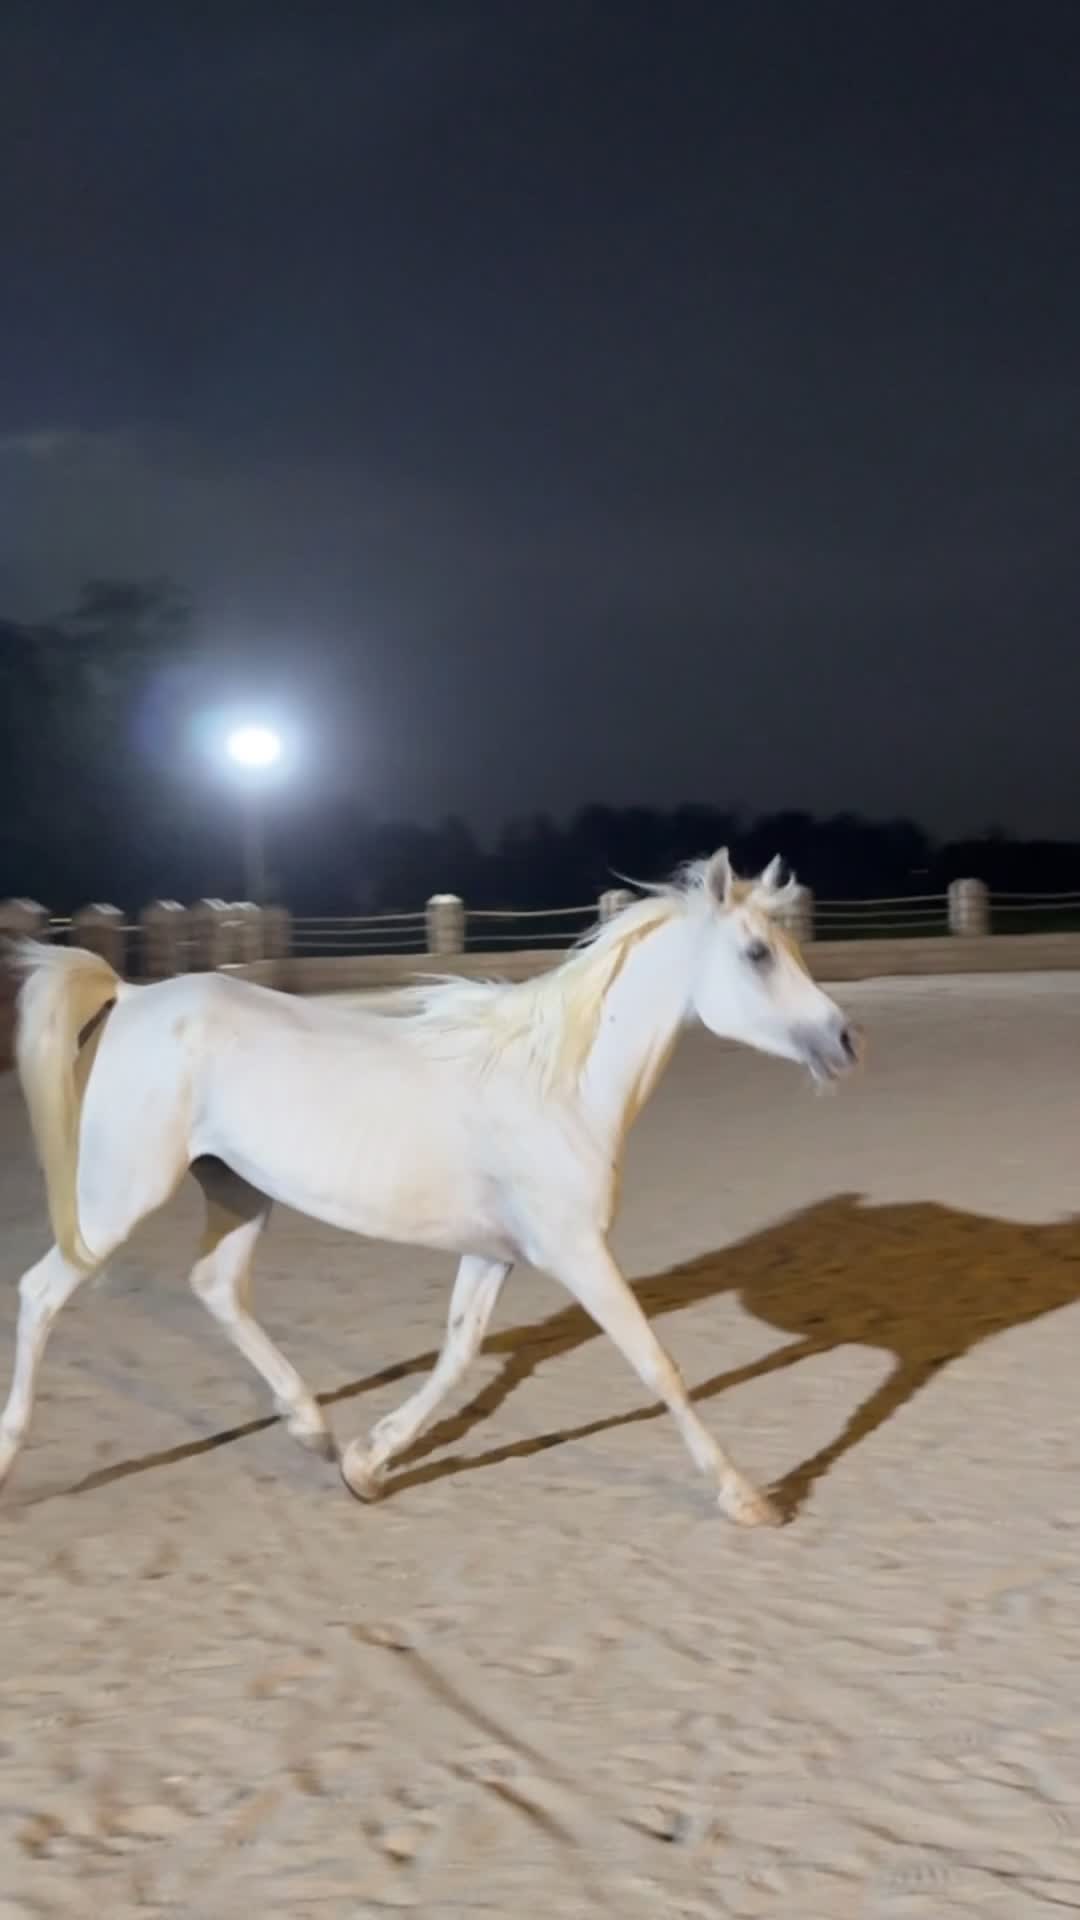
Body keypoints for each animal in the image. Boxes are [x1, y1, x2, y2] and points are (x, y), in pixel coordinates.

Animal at [0, 849, 858, 1525]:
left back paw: (312, 1426)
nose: (844, 1040)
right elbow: (658, 1365)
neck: (558, 1086)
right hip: (118, 1196)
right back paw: (12, 1466)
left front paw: (367, 1464)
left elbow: (456, 1356)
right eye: (756, 953)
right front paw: (748, 1497)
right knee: (41, 1292)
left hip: (238, 1190)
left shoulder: (493, 1254)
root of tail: (131, 996)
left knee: (215, 1286)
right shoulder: (577, 1251)